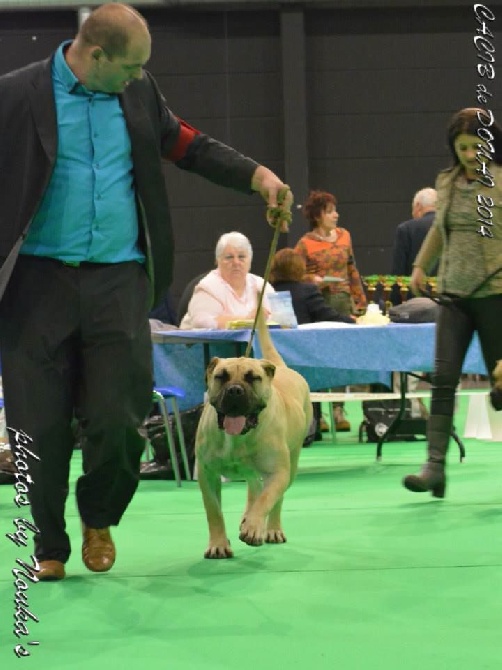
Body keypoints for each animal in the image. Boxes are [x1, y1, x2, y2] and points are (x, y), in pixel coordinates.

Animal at [194, 312, 312, 560]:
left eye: (252, 378)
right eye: (221, 376)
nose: (235, 390)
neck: (237, 437)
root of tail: (280, 367)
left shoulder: (277, 472)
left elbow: (267, 499)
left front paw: (253, 527)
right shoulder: (206, 472)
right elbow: (213, 511)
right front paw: (218, 544)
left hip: (290, 466)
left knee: (273, 498)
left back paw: (271, 529)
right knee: (254, 488)